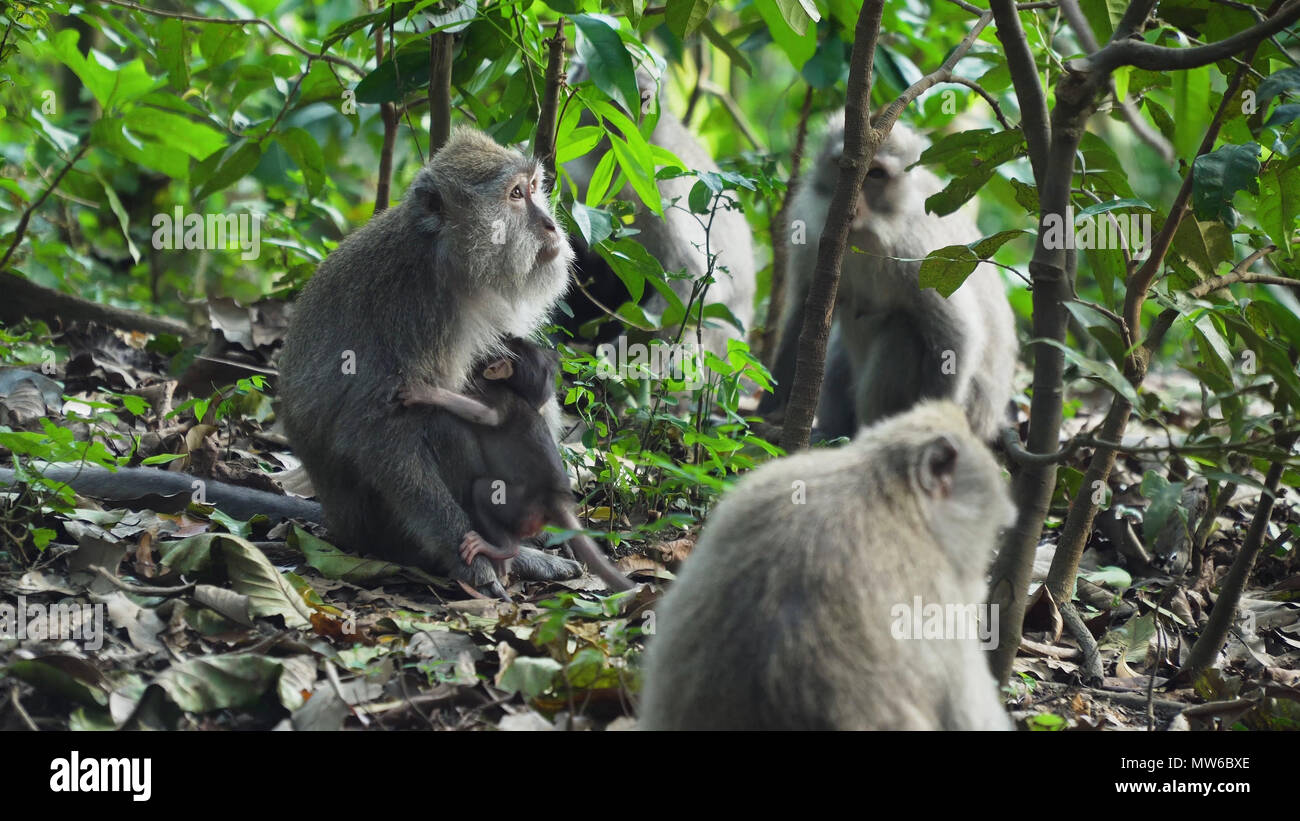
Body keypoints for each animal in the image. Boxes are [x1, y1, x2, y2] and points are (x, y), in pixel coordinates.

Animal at [276, 127, 589, 597]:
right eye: (516, 195)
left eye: (535, 188)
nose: (551, 225)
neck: (447, 260)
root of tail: (339, 527)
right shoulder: (417, 314)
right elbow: (379, 435)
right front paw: (471, 563)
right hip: (381, 530)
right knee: (442, 425)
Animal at [396, 337, 635, 593]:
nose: (504, 337)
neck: (517, 391)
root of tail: (556, 500)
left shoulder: (497, 396)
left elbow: (485, 414)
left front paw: (426, 393)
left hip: (521, 506)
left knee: (481, 491)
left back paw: (502, 552)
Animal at [759, 114, 1018, 442]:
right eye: (842, 166)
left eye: (876, 174)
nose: (850, 206)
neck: (865, 233)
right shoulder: (808, 230)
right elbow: (806, 315)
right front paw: (764, 412)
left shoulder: (918, 252)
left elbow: (958, 336)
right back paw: (831, 432)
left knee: (901, 331)